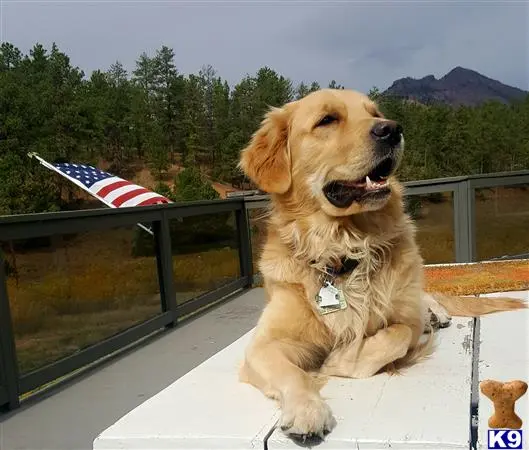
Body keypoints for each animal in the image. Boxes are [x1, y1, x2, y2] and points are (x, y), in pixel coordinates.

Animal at [237, 89, 524, 442]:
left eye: (374, 113)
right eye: (327, 119)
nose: (392, 129)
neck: (342, 246)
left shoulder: (403, 323)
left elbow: (396, 335)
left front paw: (337, 361)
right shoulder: (263, 345)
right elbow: (293, 374)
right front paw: (307, 409)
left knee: (422, 299)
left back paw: (435, 313)